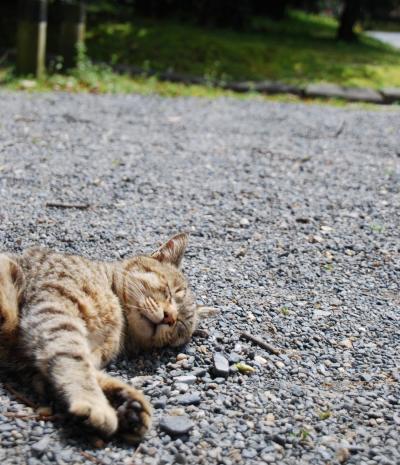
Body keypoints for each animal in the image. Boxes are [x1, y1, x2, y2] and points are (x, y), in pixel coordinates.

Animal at [0, 234, 216, 440]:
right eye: (170, 292)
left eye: (180, 325)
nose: (170, 317)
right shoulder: (55, 311)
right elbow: (74, 363)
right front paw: (94, 403)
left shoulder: (31, 358)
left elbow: (72, 370)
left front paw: (127, 403)